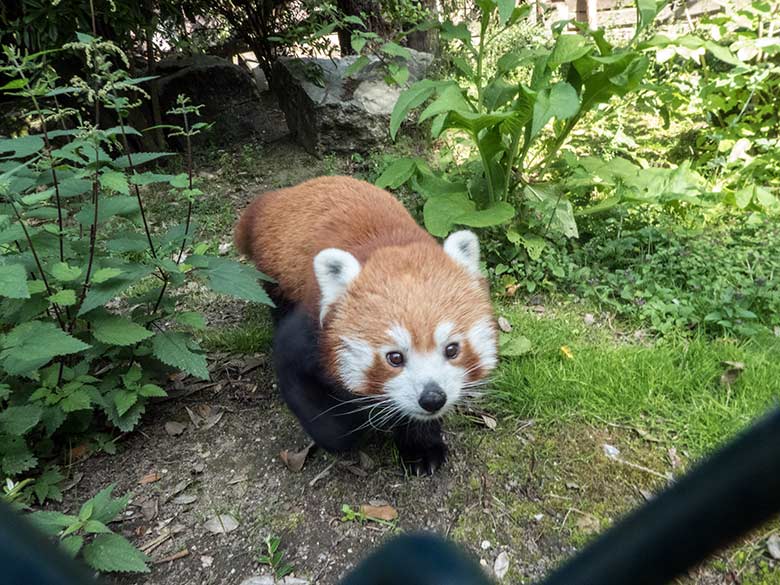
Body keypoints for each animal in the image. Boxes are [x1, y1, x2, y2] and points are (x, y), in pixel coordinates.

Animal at [235, 176, 496, 472]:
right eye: (394, 357)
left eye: (452, 349)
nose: (432, 398)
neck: (389, 244)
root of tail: (285, 195)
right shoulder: (308, 332)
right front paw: (358, 417)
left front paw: (421, 446)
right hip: (277, 273)